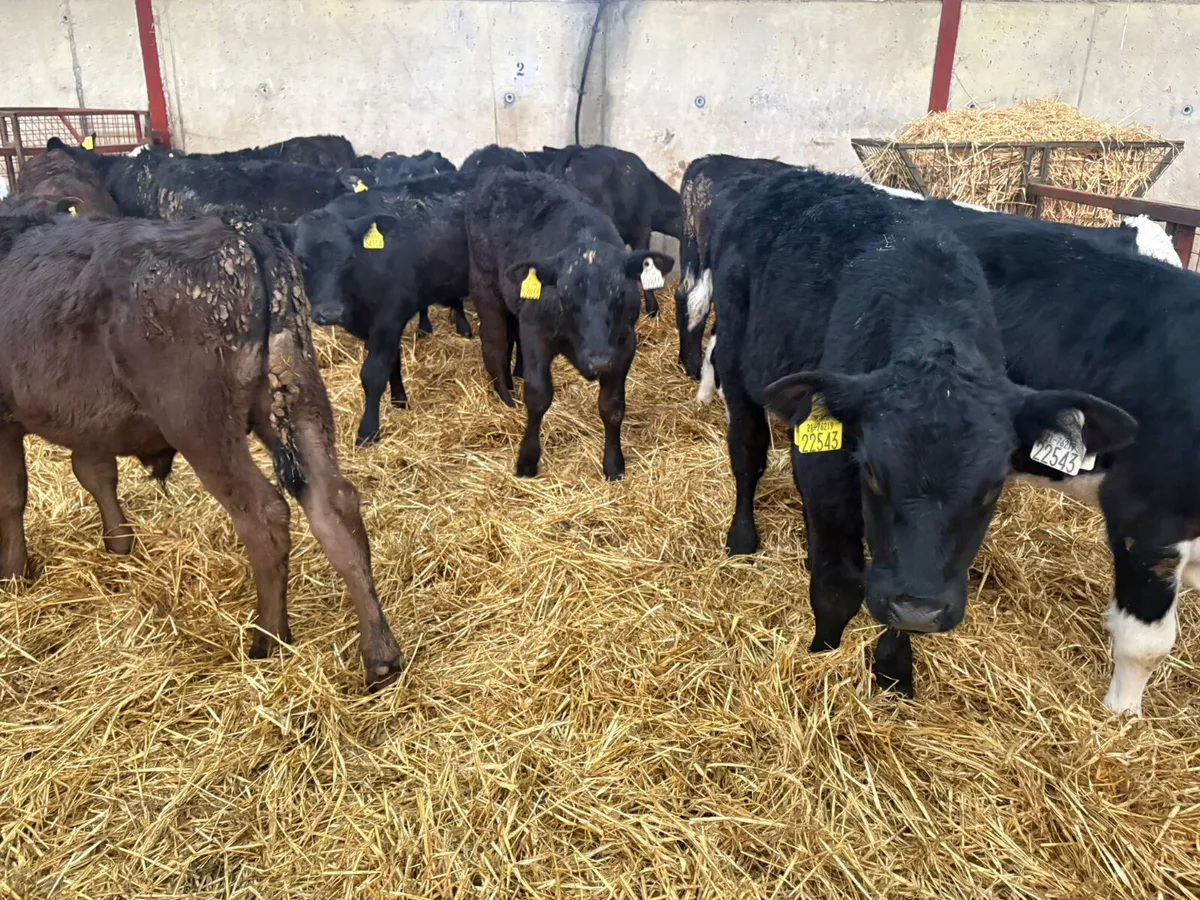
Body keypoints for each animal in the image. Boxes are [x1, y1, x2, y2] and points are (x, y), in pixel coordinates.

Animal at [0, 212, 403, 690]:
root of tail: (244, 237)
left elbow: (12, 496)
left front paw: (13, 572)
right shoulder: (87, 420)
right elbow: (94, 472)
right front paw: (118, 544)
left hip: (200, 424)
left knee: (264, 514)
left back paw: (268, 637)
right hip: (298, 398)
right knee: (335, 505)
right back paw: (380, 655)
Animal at [288, 175, 474, 445]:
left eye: (348, 258)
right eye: (302, 260)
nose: (331, 312)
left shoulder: (388, 317)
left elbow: (373, 374)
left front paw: (368, 431)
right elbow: (393, 361)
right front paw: (399, 400)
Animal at [465, 170, 673, 480]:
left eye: (619, 293)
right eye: (564, 295)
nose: (599, 360)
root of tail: (502, 174)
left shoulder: (624, 344)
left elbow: (612, 406)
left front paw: (614, 465)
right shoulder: (535, 332)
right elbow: (538, 396)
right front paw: (527, 461)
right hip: (485, 287)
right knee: (495, 344)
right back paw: (506, 399)